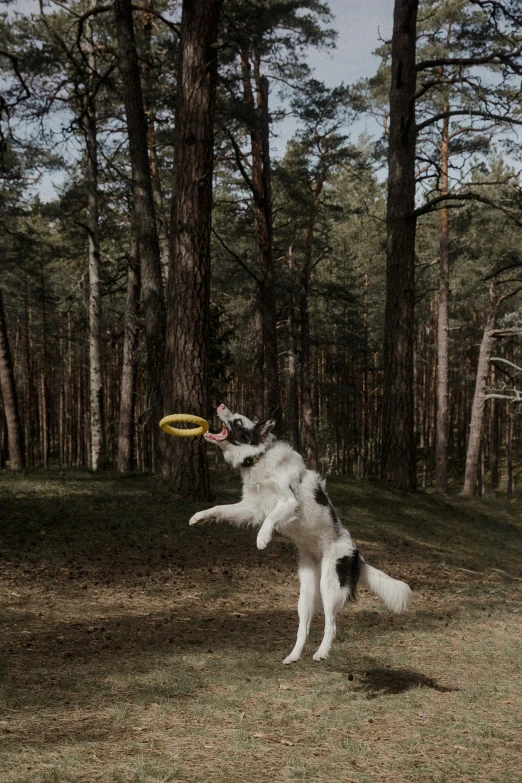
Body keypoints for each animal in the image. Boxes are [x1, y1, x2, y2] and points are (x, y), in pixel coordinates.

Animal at [188, 408, 410, 664]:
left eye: (238, 421)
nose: (221, 406)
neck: (260, 458)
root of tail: (356, 554)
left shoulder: (288, 501)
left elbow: (271, 518)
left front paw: (263, 538)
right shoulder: (250, 507)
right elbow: (221, 509)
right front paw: (199, 516)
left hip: (329, 584)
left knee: (331, 625)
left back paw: (321, 652)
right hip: (306, 593)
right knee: (304, 629)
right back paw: (293, 656)